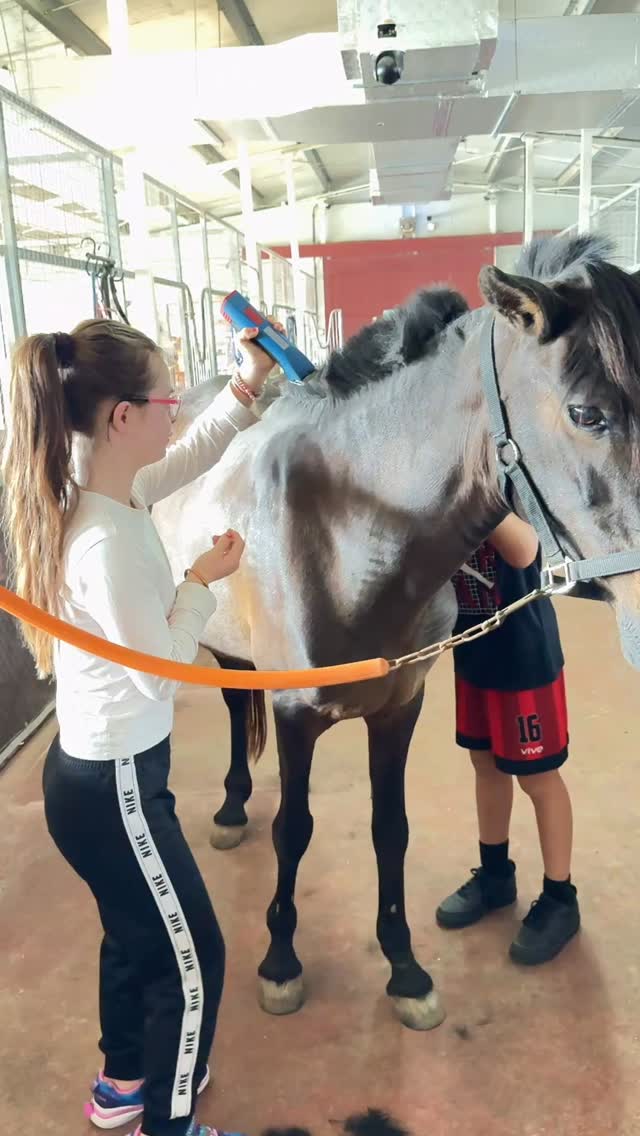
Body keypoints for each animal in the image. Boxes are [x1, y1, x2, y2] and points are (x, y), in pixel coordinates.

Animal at [153, 234, 640, 1031]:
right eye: (586, 413)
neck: (349, 525)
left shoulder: (398, 707)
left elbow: (392, 829)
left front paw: (404, 968)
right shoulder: (294, 714)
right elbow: (294, 827)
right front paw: (280, 964)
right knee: (232, 705)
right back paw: (229, 806)